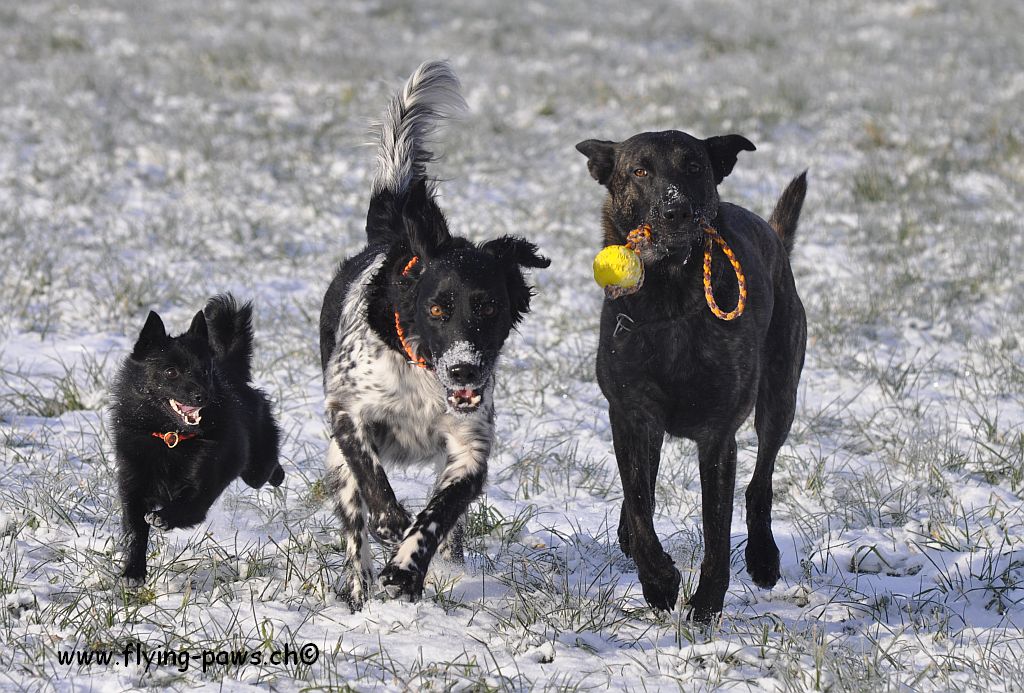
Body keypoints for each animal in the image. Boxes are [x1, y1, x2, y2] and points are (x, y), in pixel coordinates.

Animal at [112, 294, 284, 581]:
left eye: (203, 371)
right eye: (171, 372)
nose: (202, 396)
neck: (170, 437)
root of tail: (229, 372)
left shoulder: (202, 491)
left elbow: (184, 507)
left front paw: (162, 518)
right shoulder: (132, 487)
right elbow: (135, 530)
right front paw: (132, 572)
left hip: (255, 470)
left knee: (267, 468)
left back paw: (279, 475)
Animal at [319, 60, 552, 605]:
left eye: (489, 308)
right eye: (438, 308)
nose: (464, 368)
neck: (423, 374)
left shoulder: (470, 445)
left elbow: (439, 513)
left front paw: (408, 568)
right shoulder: (347, 410)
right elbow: (372, 479)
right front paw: (390, 526)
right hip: (337, 460)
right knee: (353, 524)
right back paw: (360, 590)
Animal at [577, 132, 806, 618]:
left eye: (695, 167)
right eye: (639, 170)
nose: (676, 209)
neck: (669, 298)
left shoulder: (718, 436)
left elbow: (716, 528)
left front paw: (706, 603)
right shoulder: (629, 417)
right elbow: (639, 503)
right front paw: (659, 580)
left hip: (780, 396)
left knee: (760, 481)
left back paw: (763, 557)